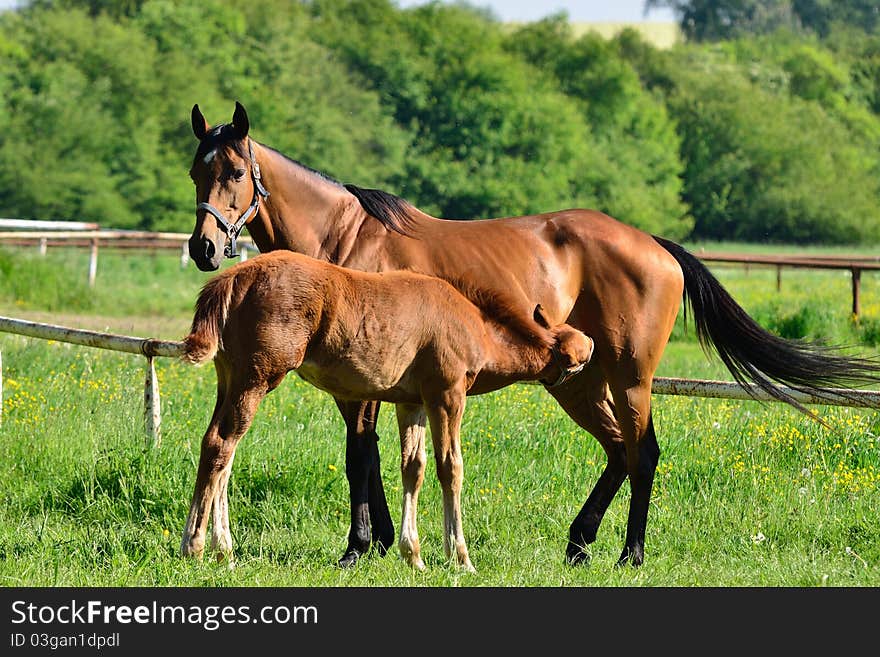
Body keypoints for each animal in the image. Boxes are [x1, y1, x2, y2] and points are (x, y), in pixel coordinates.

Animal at [179, 251, 592, 568]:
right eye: (573, 351)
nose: (591, 345)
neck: (470, 321)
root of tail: (233, 278)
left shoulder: (413, 403)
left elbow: (414, 468)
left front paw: (414, 556)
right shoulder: (447, 395)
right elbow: (450, 468)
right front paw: (460, 557)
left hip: (230, 379)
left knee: (222, 454)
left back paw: (224, 549)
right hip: (257, 378)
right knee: (220, 446)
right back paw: (194, 546)